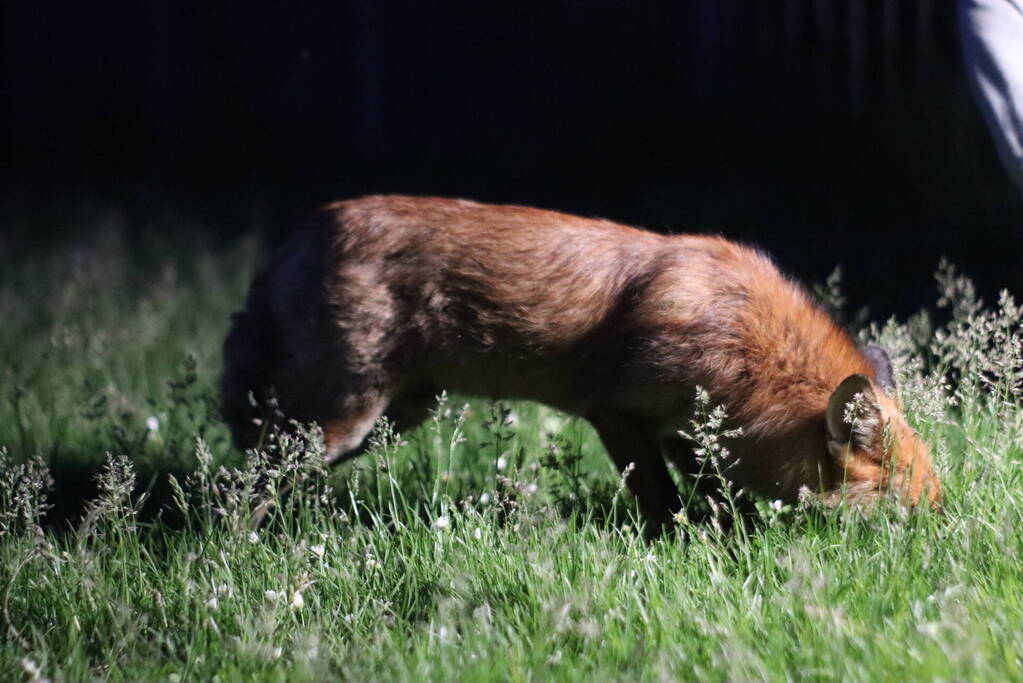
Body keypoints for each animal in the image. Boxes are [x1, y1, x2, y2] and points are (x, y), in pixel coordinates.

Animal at [224, 193, 941, 531]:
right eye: (909, 509)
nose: (942, 532)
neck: (743, 341)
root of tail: (308, 226)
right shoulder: (618, 416)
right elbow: (663, 505)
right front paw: (675, 546)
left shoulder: (690, 433)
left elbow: (720, 500)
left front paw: (729, 538)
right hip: (342, 421)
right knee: (247, 481)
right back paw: (232, 549)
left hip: (395, 416)